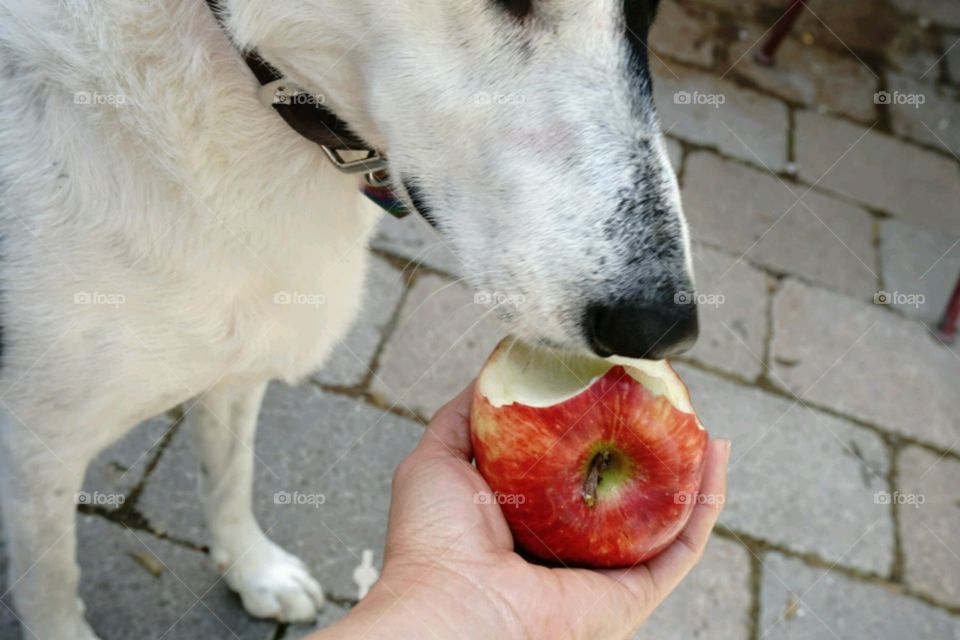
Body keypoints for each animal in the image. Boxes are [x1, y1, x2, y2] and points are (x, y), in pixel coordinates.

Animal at [0, 1, 692, 636]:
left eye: (649, 8)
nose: (664, 327)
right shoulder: (36, 452)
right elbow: (50, 584)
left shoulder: (240, 366)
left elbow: (229, 478)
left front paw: (254, 569)